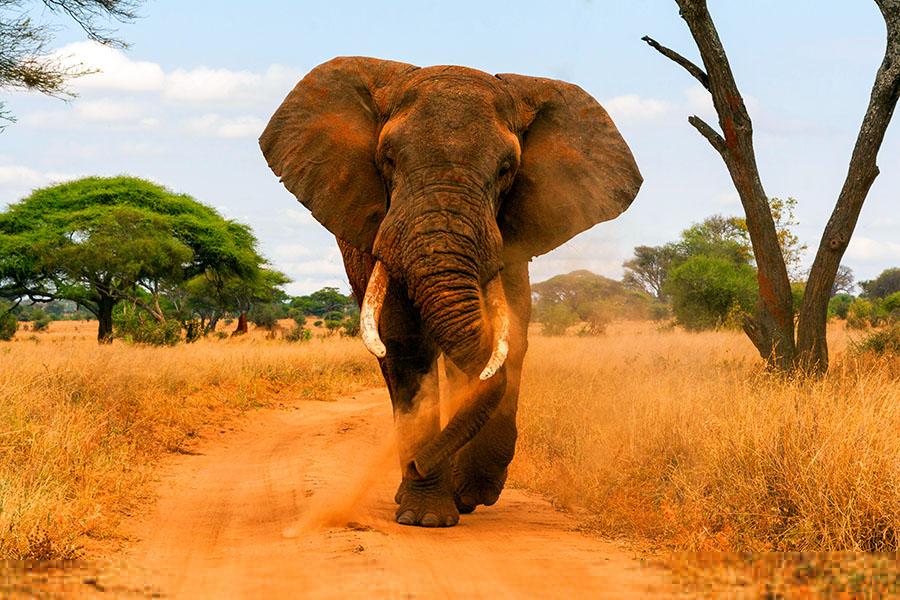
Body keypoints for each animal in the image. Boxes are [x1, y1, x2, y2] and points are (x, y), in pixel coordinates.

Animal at [260, 57, 641, 528]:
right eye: (387, 159)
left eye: (506, 169)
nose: (416, 464)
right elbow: (407, 346)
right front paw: (426, 516)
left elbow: (509, 341)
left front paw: (471, 492)